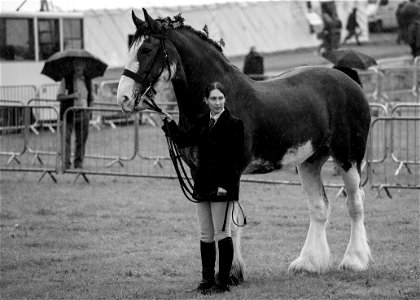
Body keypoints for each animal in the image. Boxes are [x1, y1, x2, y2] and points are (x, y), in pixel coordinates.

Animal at [116, 9, 372, 280]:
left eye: (146, 49)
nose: (123, 97)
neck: (219, 104)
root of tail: (349, 80)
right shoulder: (201, 173)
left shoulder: (230, 172)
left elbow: (229, 225)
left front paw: (231, 273)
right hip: (309, 161)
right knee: (319, 207)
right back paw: (309, 263)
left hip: (348, 157)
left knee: (355, 203)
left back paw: (354, 260)